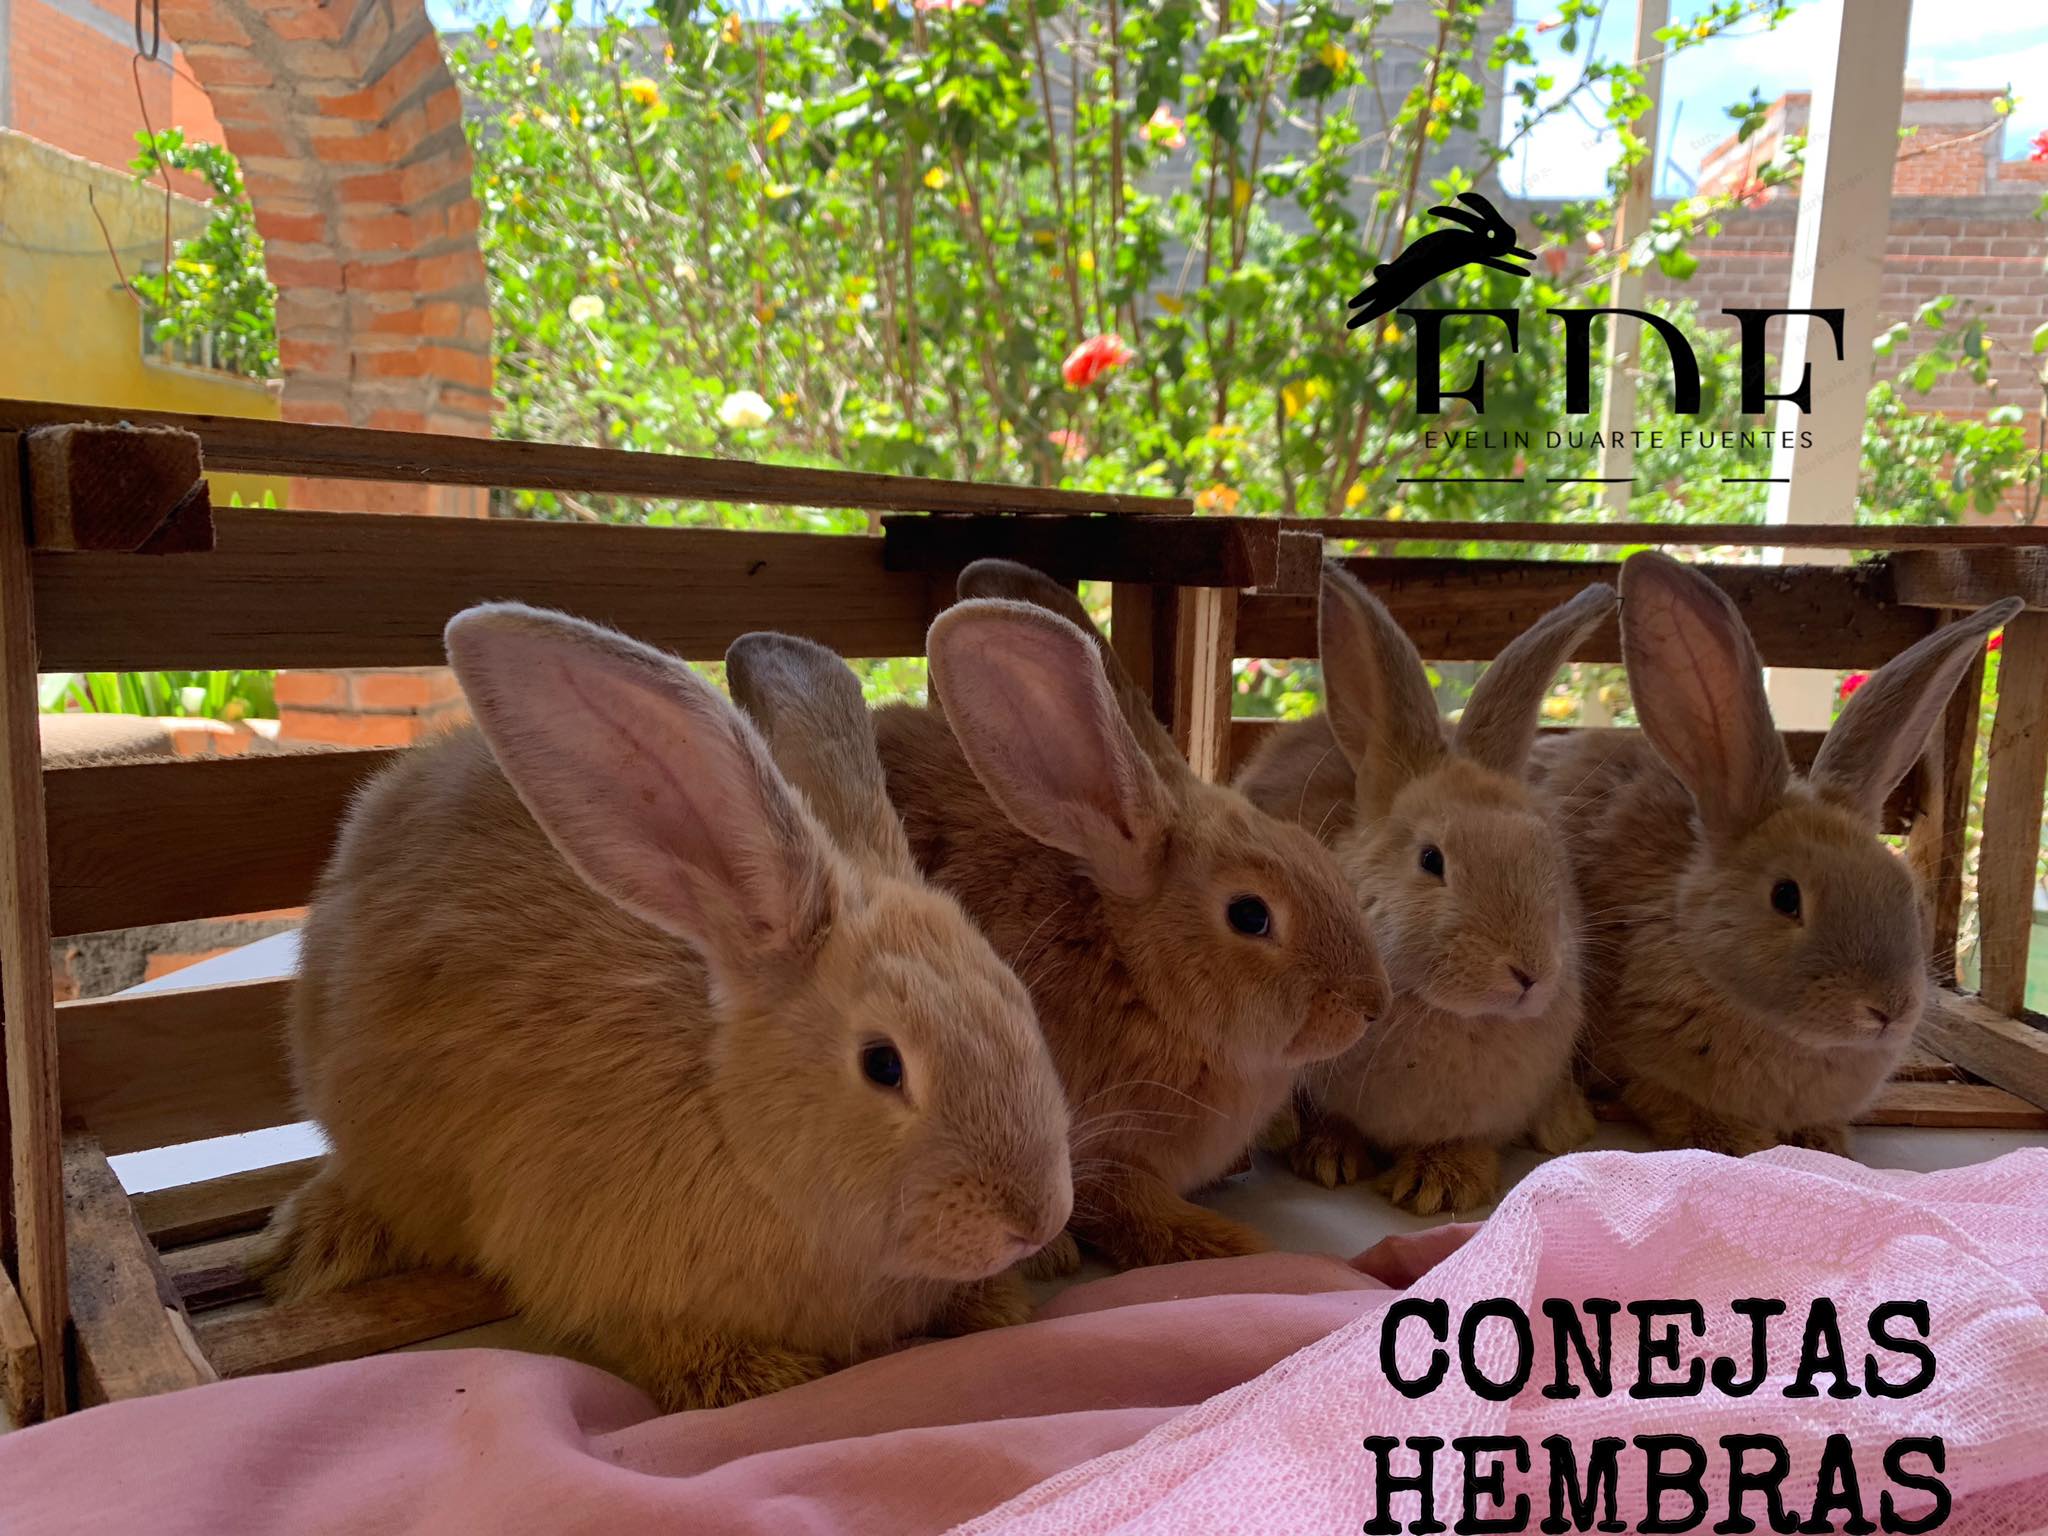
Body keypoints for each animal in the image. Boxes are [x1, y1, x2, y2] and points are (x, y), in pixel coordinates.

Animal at [255, 604, 1074, 1411]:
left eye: (1018, 998)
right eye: (882, 1065)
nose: (1035, 1221)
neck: (735, 1125)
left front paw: (997, 1305)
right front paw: (757, 1377)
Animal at [873, 562, 1390, 1273]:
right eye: (1250, 915)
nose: (1372, 1005)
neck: (1136, 975)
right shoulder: (1088, 1156)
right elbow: (1138, 1216)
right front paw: (1244, 1248)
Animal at [1531, 550, 2022, 1157]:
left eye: (1905, 893)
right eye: (1786, 897)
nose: (1888, 1010)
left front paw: (1825, 1143)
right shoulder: (1642, 1067)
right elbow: (1671, 1102)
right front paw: (1741, 1140)